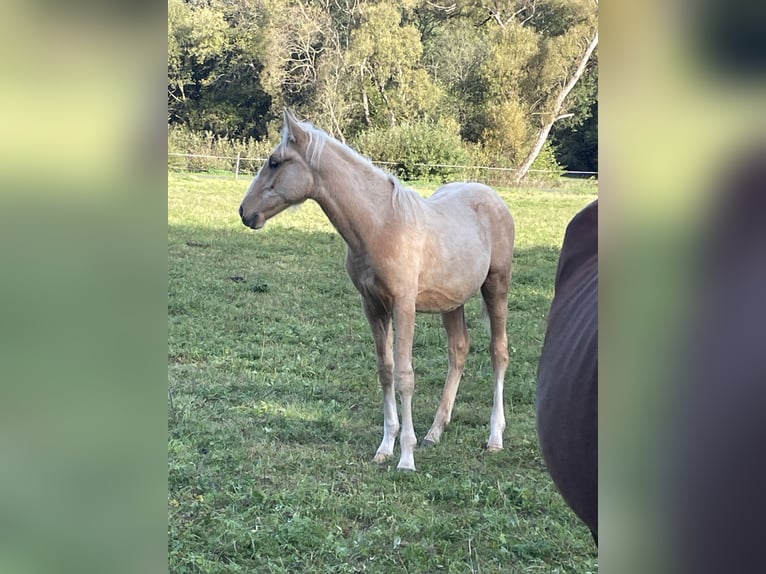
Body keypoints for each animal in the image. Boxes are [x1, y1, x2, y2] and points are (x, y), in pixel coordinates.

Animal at [239, 109, 515, 471]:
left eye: (274, 162)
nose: (245, 212)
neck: (381, 224)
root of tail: (494, 198)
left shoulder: (404, 305)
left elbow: (405, 375)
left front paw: (407, 457)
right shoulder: (372, 306)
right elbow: (386, 371)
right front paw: (386, 447)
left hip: (496, 286)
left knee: (499, 352)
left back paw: (495, 438)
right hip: (452, 301)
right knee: (459, 351)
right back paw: (435, 432)